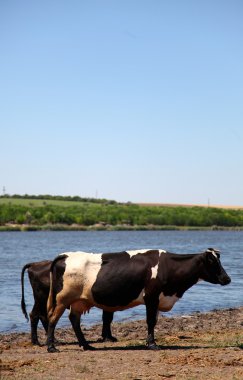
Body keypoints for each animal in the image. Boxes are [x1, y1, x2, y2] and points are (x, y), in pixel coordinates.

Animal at [46, 248, 231, 352]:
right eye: (213, 262)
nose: (227, 279)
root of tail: (66, 255)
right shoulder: (151, 296)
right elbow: (150, 321)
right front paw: (152, 344)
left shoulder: (157, 299)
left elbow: (154, 321)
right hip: (62, 299)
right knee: (52, 319)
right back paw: (51, 347)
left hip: (78, 301)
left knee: (74, 320)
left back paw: (86, 345)